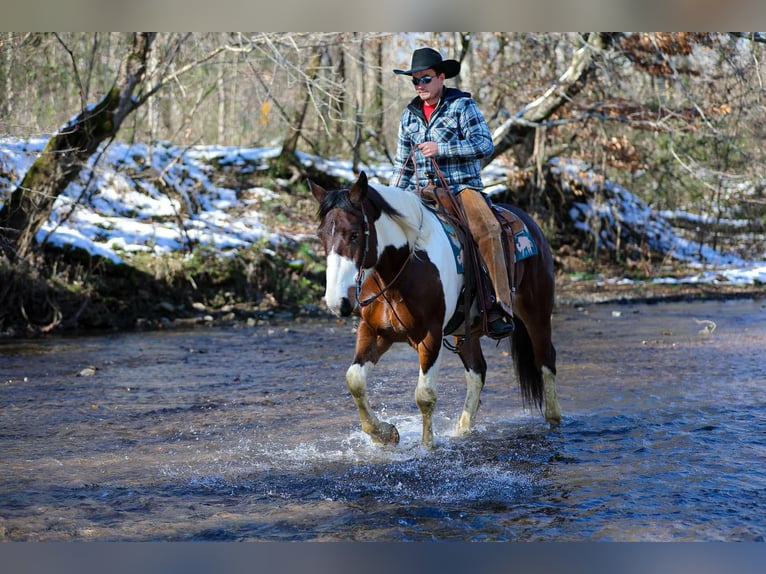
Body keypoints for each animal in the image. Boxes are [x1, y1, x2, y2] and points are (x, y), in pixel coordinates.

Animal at [309, 171, 560, 447]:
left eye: (354, 234)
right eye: (321, 235)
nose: (337, 302)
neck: (403, 266)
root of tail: (531, 224)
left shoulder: (430, 335)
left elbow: (425, 395)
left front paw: (427, 447)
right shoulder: (374, 331)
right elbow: (354, 380)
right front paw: (385, 434)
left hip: (536, 313)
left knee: (545, 359)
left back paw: (553, 421)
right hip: (466, 332)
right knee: (477, 371)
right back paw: (463, 430)